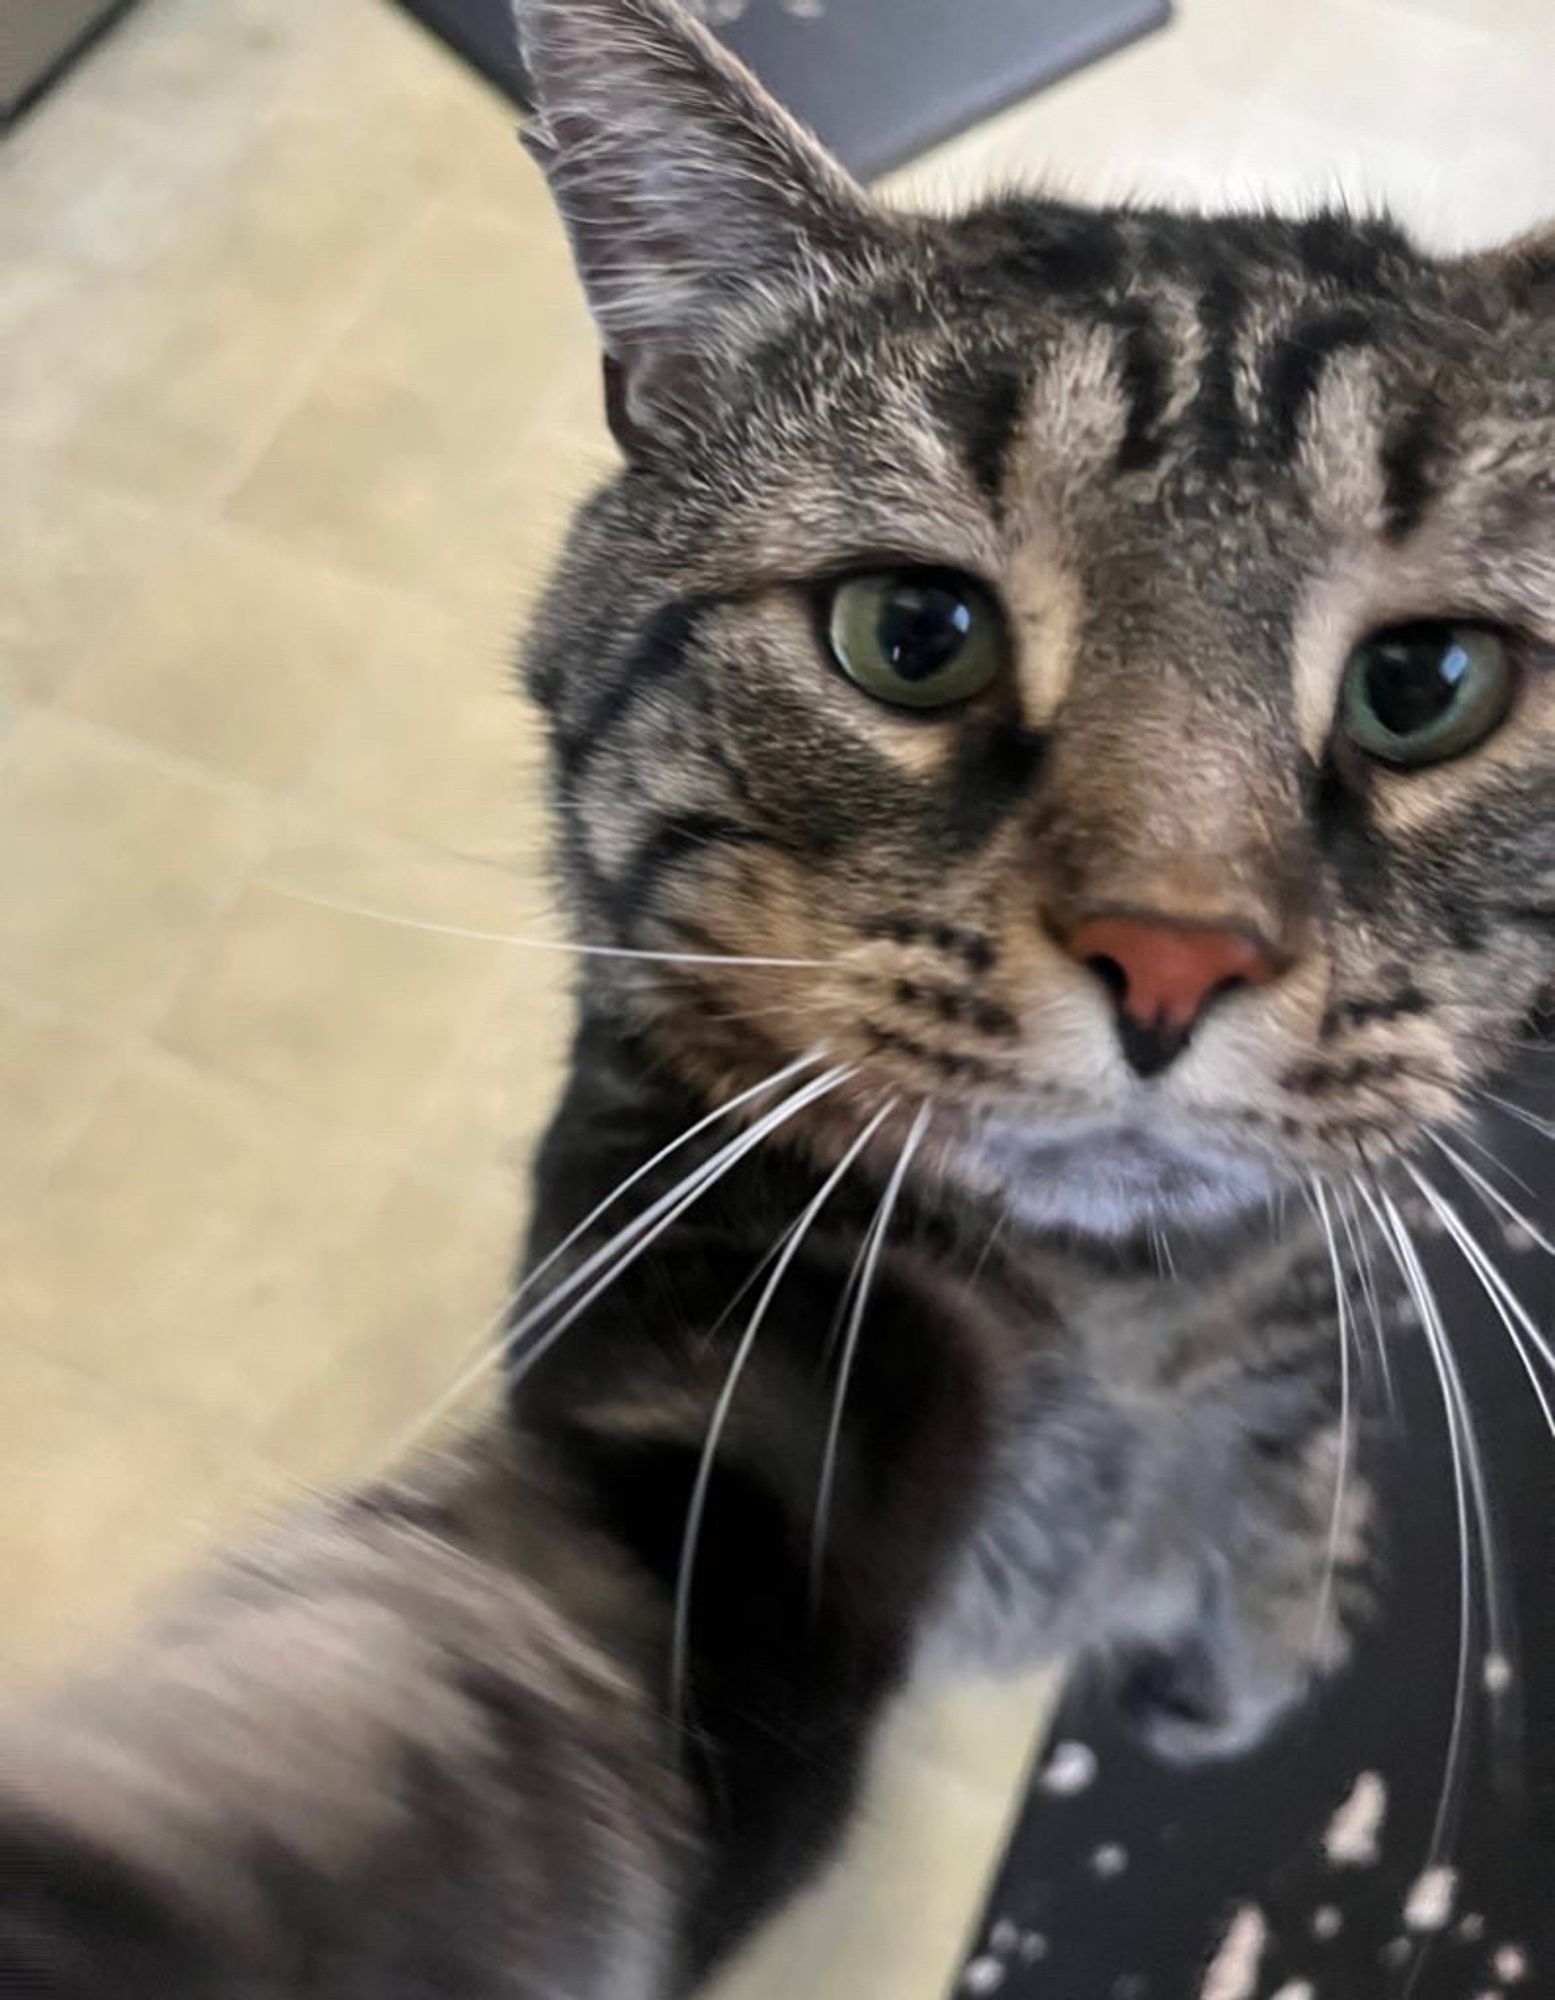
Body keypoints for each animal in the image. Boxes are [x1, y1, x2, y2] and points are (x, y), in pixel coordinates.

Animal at [3, 0, 1551, 1992]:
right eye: (912, 634)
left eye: (1425, 682)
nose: (1174, 952)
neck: (1128, 1322)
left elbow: (1295, 1467)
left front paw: (1269, 1619)